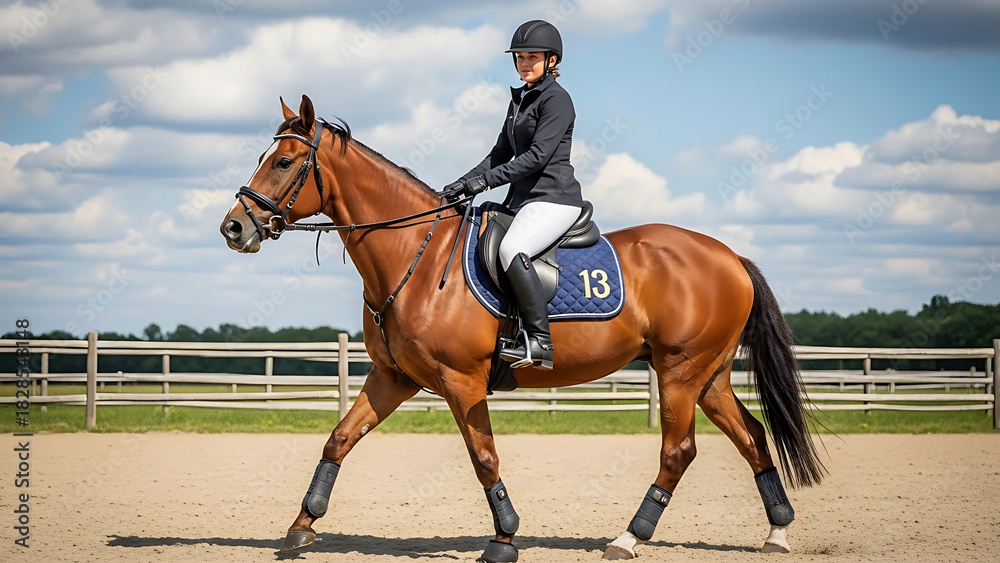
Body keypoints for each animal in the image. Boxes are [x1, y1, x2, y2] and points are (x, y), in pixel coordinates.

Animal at [219, 95, 824, 562]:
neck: (414, 254)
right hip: (709, 376)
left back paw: (628, 538)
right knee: (752, 436)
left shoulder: (460, 381)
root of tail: (729, 256)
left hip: (680, 372)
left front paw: (505, 538)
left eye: (284, 162)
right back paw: (777, 531)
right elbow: (340, 438)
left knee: (678, 451)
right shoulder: (394, 377)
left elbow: (484, 457)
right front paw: (302, 525)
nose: (234, 227)